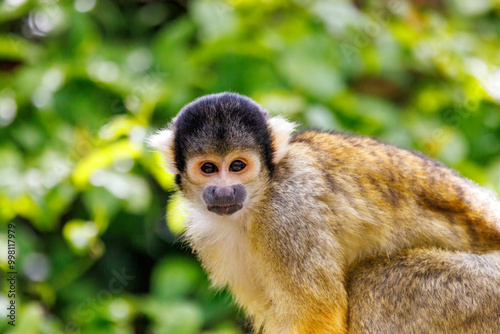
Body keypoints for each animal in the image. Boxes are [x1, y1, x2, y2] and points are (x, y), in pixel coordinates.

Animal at [149, 92, 500, 334]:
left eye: (237, 166)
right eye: (208, 168)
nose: (224, 191)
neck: (255, 204)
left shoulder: (288, 214)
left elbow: (316, 318)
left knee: (374, 282)